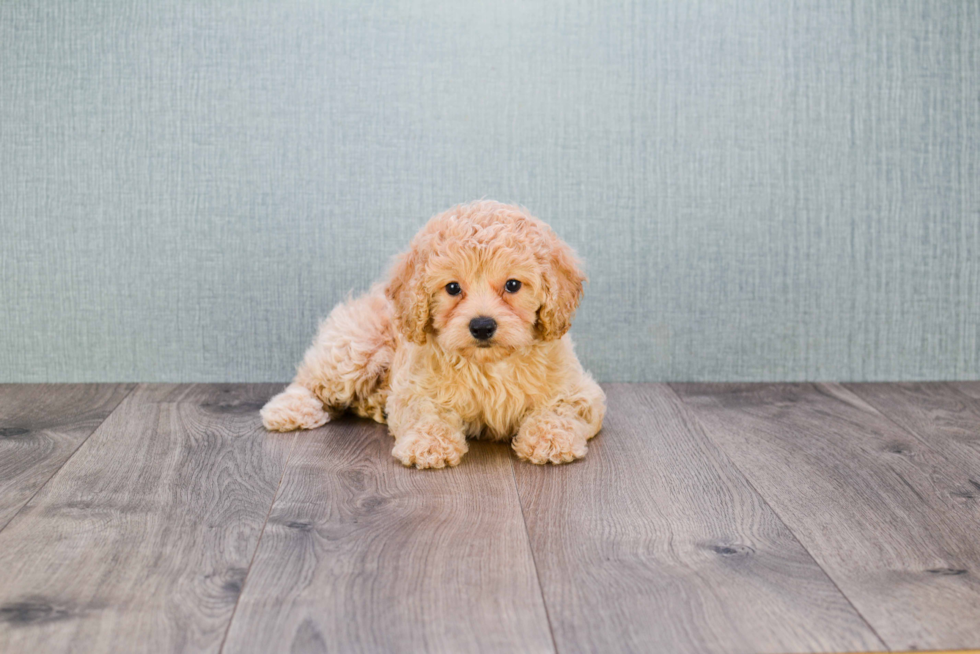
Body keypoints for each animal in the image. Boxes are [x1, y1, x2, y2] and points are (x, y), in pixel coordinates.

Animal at [264, 202, 608, 468]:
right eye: (453, 288)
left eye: (513, 285)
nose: (482, 325)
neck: (489, 365)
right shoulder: (415, 388)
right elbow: (427, 413)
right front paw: (429, 445)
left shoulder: (578, 391)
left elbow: (558, 408)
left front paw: (550, 438)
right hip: (355, 346)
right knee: (312, 381)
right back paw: (288, 410)